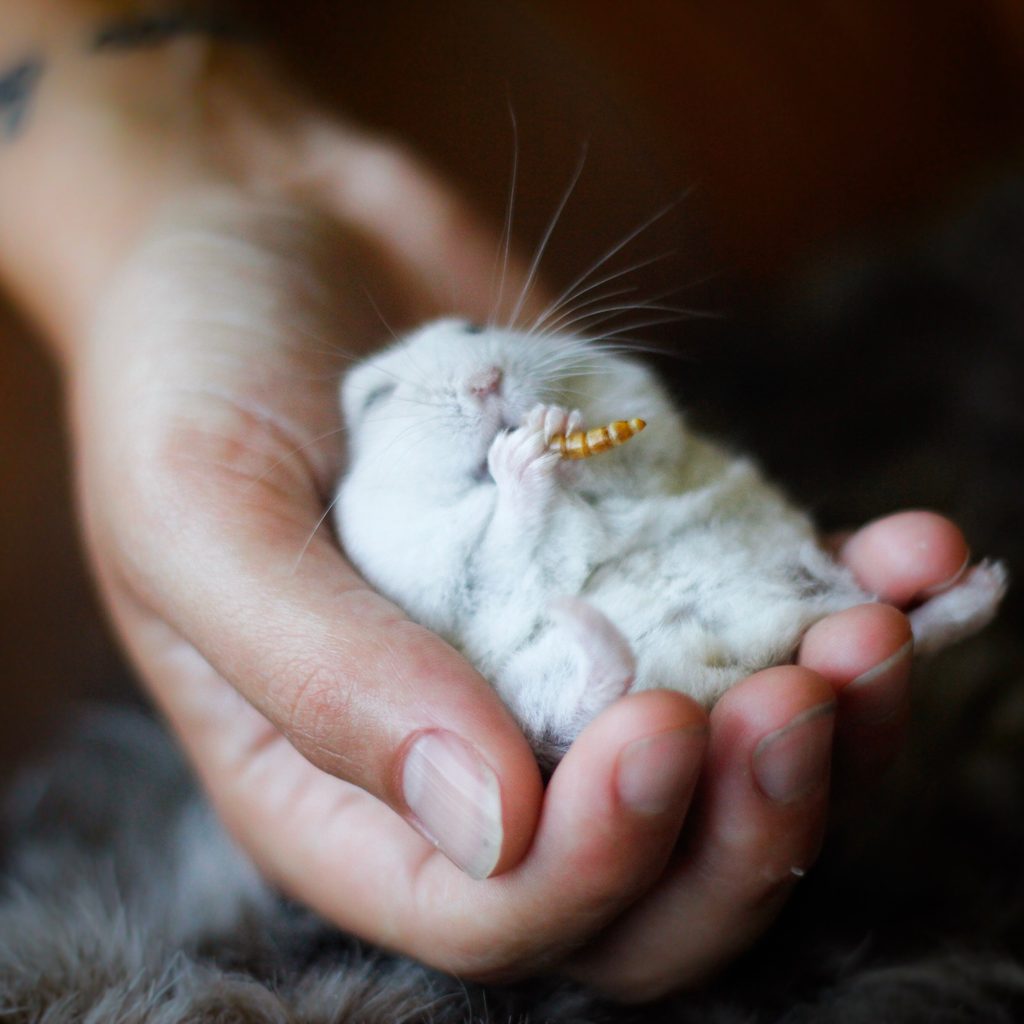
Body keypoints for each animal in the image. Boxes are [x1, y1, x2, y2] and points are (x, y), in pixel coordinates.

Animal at [335, 318, 1007, 762]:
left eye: (474, 328)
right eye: (377, 397)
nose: (486, 381)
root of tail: (733, 674)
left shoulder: (652, 444)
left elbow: (622, 471)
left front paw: (559, 427)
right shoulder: (457, 594)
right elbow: (511, 553)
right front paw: (524, 455)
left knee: (904, 629)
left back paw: (984, 585)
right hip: (539, 699)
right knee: (588, 705)